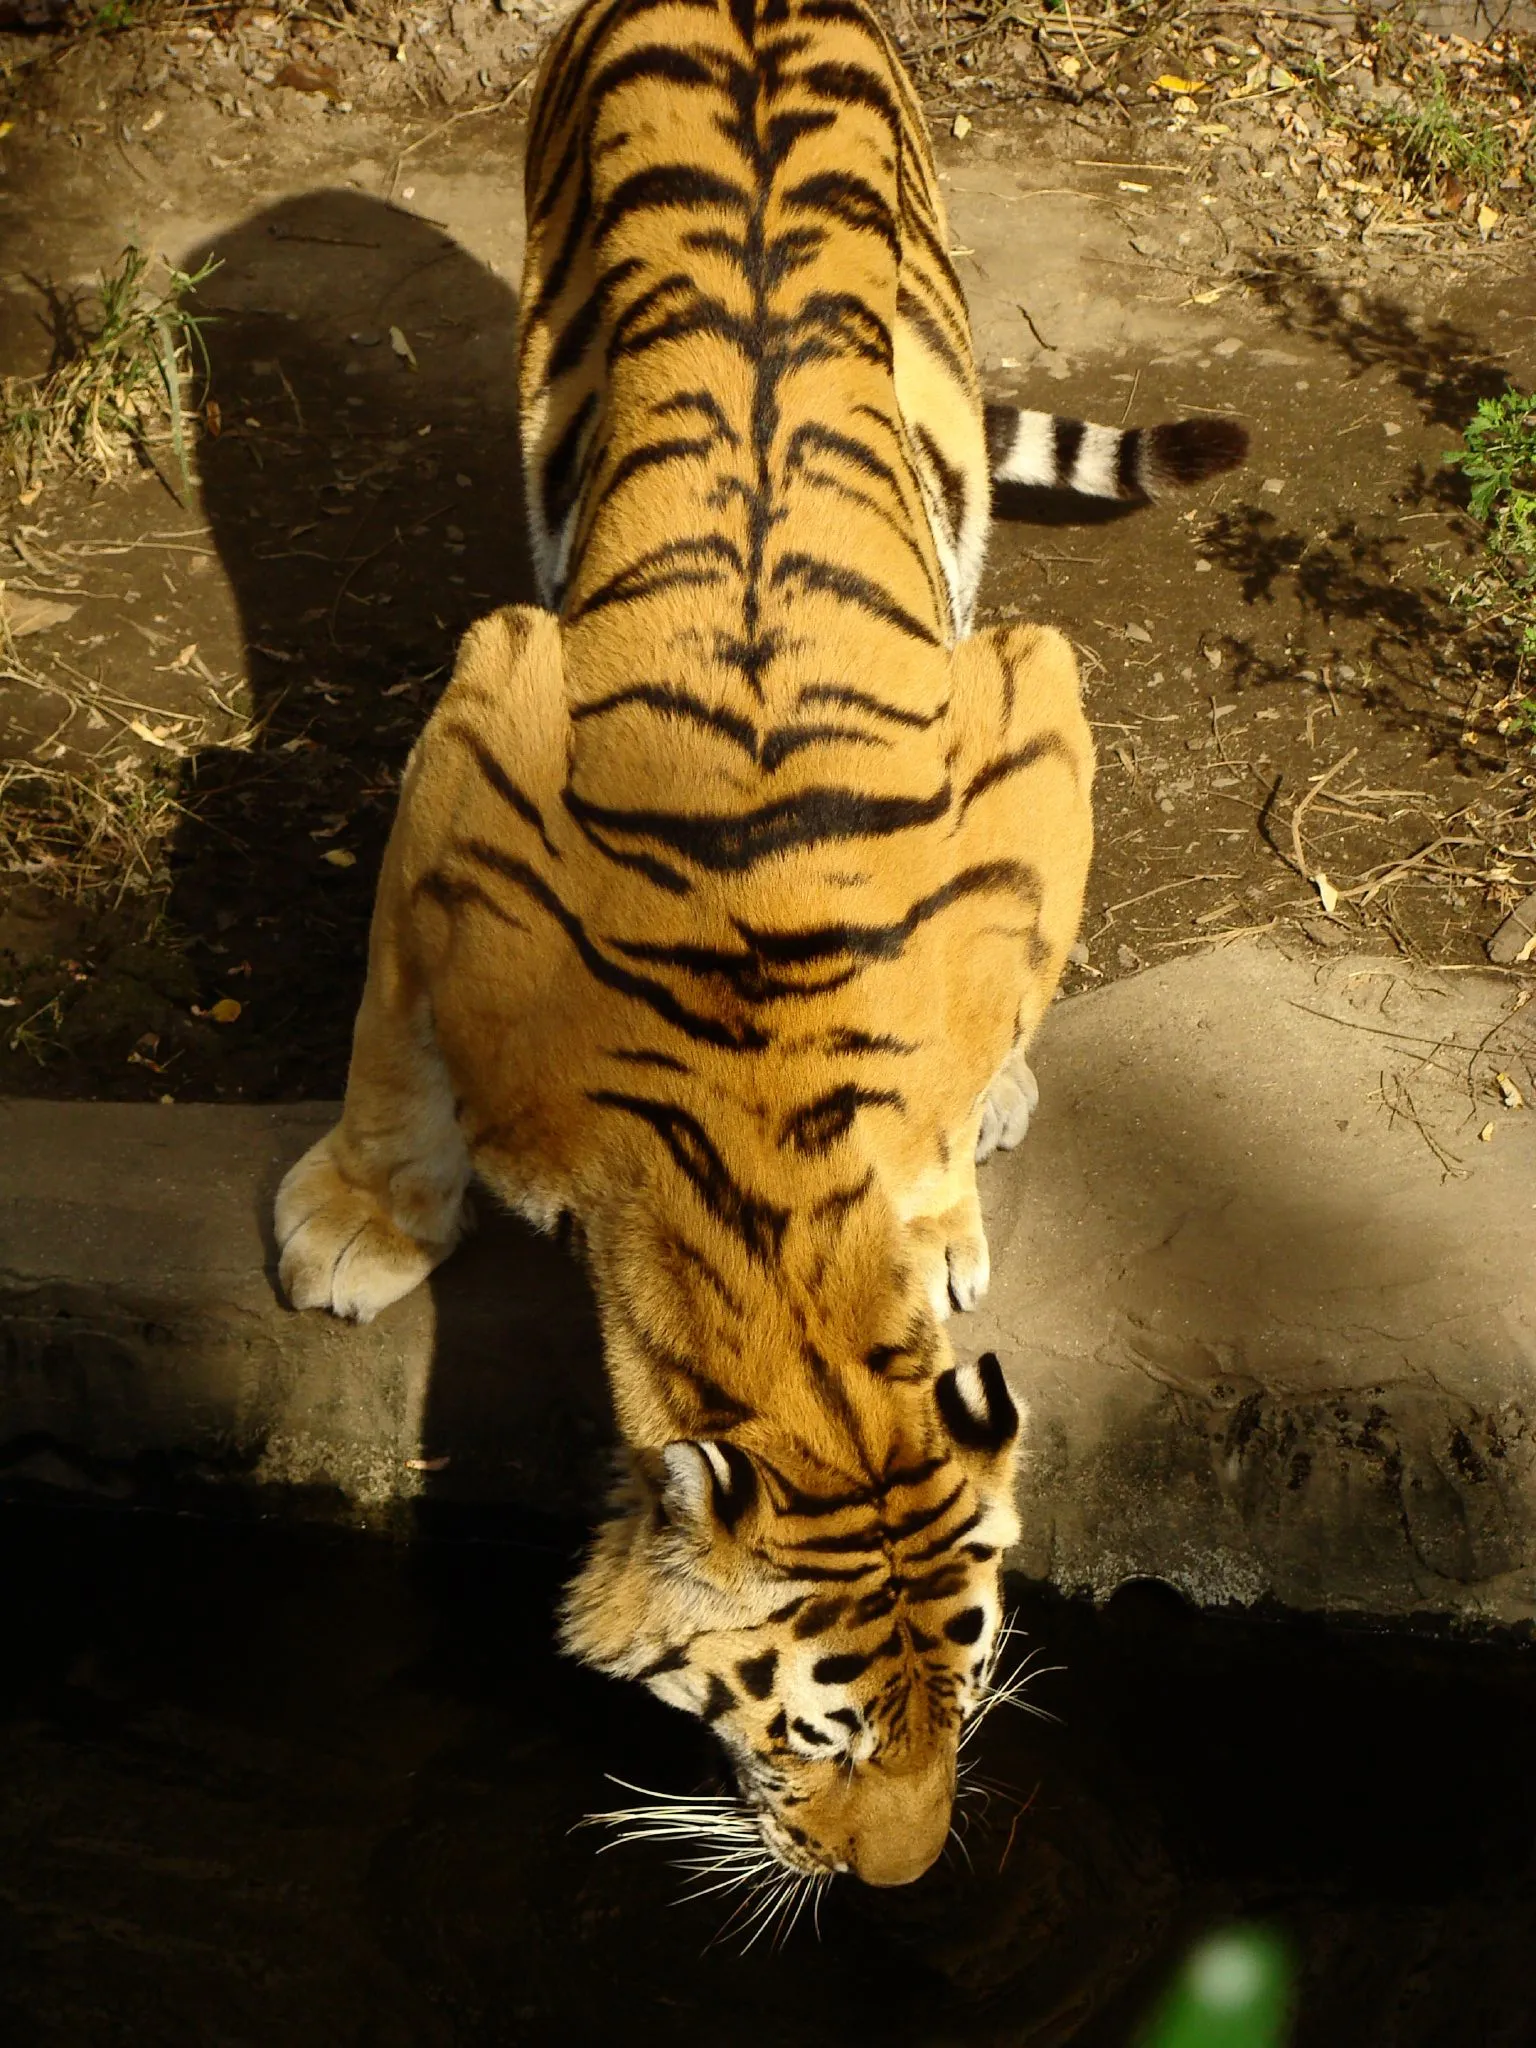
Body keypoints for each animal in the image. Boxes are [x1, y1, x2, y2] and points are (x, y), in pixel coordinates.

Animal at [273, 0, 1245, 1890]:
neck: (763, 1141)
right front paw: (360, 1223)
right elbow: (386, 1029)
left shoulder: (1029, 707)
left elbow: (984, 1021)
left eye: (975, 1680)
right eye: (817, 1729)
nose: (903, 1877)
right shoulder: (477, 723)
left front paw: (950, 1191)